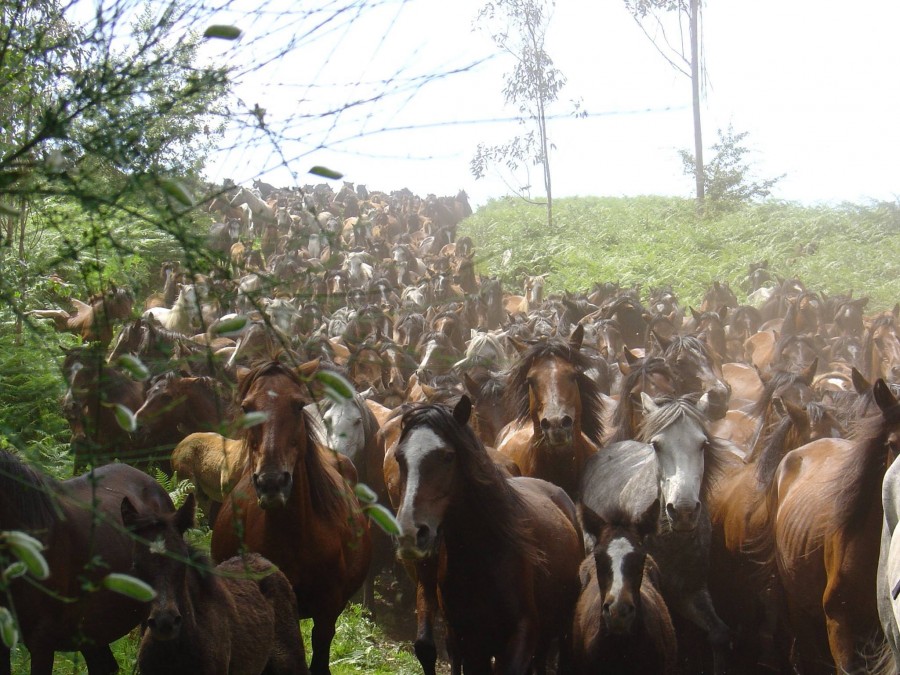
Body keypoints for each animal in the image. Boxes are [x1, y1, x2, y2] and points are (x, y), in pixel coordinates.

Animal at [396, 398, 584, 672]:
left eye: (448, 456)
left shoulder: (522, 635)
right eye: (399, 458)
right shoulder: (470, 642)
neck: (484, 555)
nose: (411, 533)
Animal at [580, 394, 736, 672]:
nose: (683, 511)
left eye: (703, 444)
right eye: (656, 445)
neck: (671, 540)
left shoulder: (692, 591)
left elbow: (719, 634)